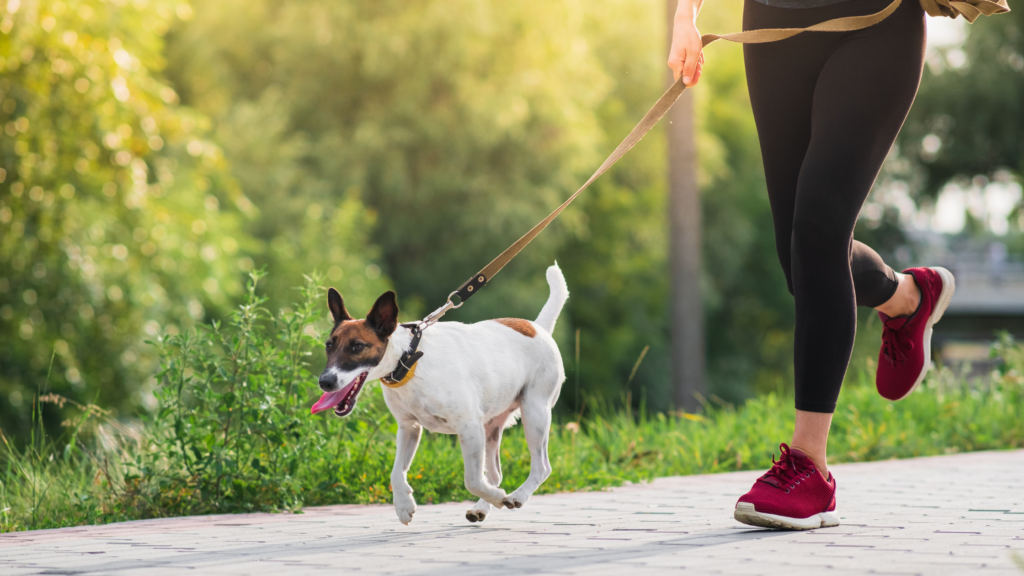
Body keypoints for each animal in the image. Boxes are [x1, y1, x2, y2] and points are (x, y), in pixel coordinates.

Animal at [311, 262, 569, 522]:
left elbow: (472, 480)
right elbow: (396, 472)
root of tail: (538, 327)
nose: (325, 382)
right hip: (491, 427)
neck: (410, 361)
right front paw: (403, 504)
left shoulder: (469, 427)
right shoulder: (409, 427)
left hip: (534, 412)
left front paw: (498, 498)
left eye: (357, 347)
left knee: (541, 467)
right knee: (495, 474)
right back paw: (482, 507)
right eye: (329, 346)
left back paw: (516, 496)